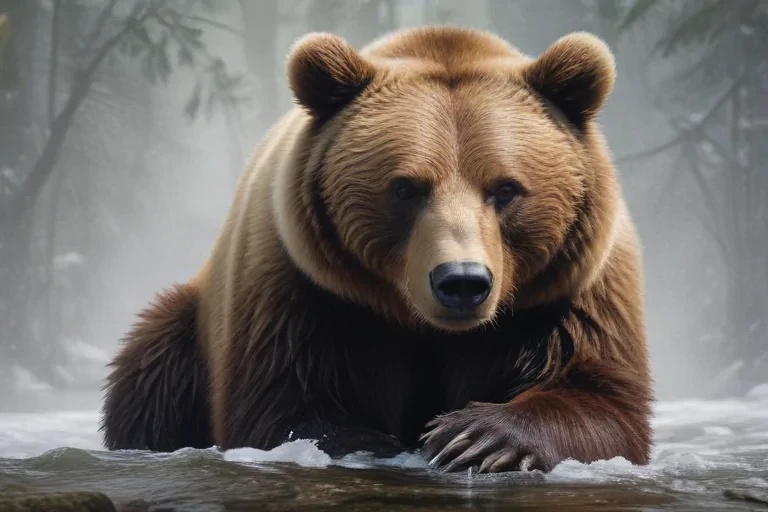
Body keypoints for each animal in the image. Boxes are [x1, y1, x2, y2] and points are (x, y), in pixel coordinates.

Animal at [100, 25, 653, 473]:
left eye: (505, 189)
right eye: (406, 188)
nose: (462, 282)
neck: (421, 324)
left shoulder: (566, 291)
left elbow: (602, 398)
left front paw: (476, 438)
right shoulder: (304, 290)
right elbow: (282, 407)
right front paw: (384, 443)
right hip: (184, 340)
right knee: (150, 374)